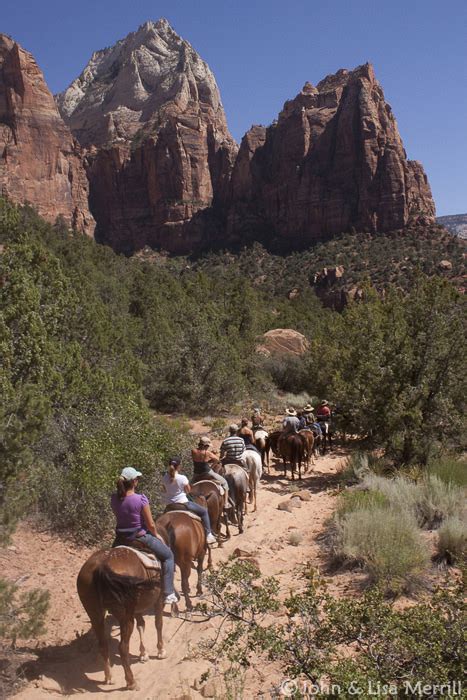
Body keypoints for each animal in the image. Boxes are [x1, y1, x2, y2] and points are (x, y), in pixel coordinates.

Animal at [78, 544, 168, 688]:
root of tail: (101, 567)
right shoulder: (158, 599)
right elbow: (158, 623)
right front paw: (161, 650)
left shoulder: (136, 609)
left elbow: (141, 624)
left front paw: (143, 653)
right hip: (125, 617)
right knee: (123, 647)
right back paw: (131, 682)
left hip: (95, 614)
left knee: (103, 645)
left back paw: (109, 677)